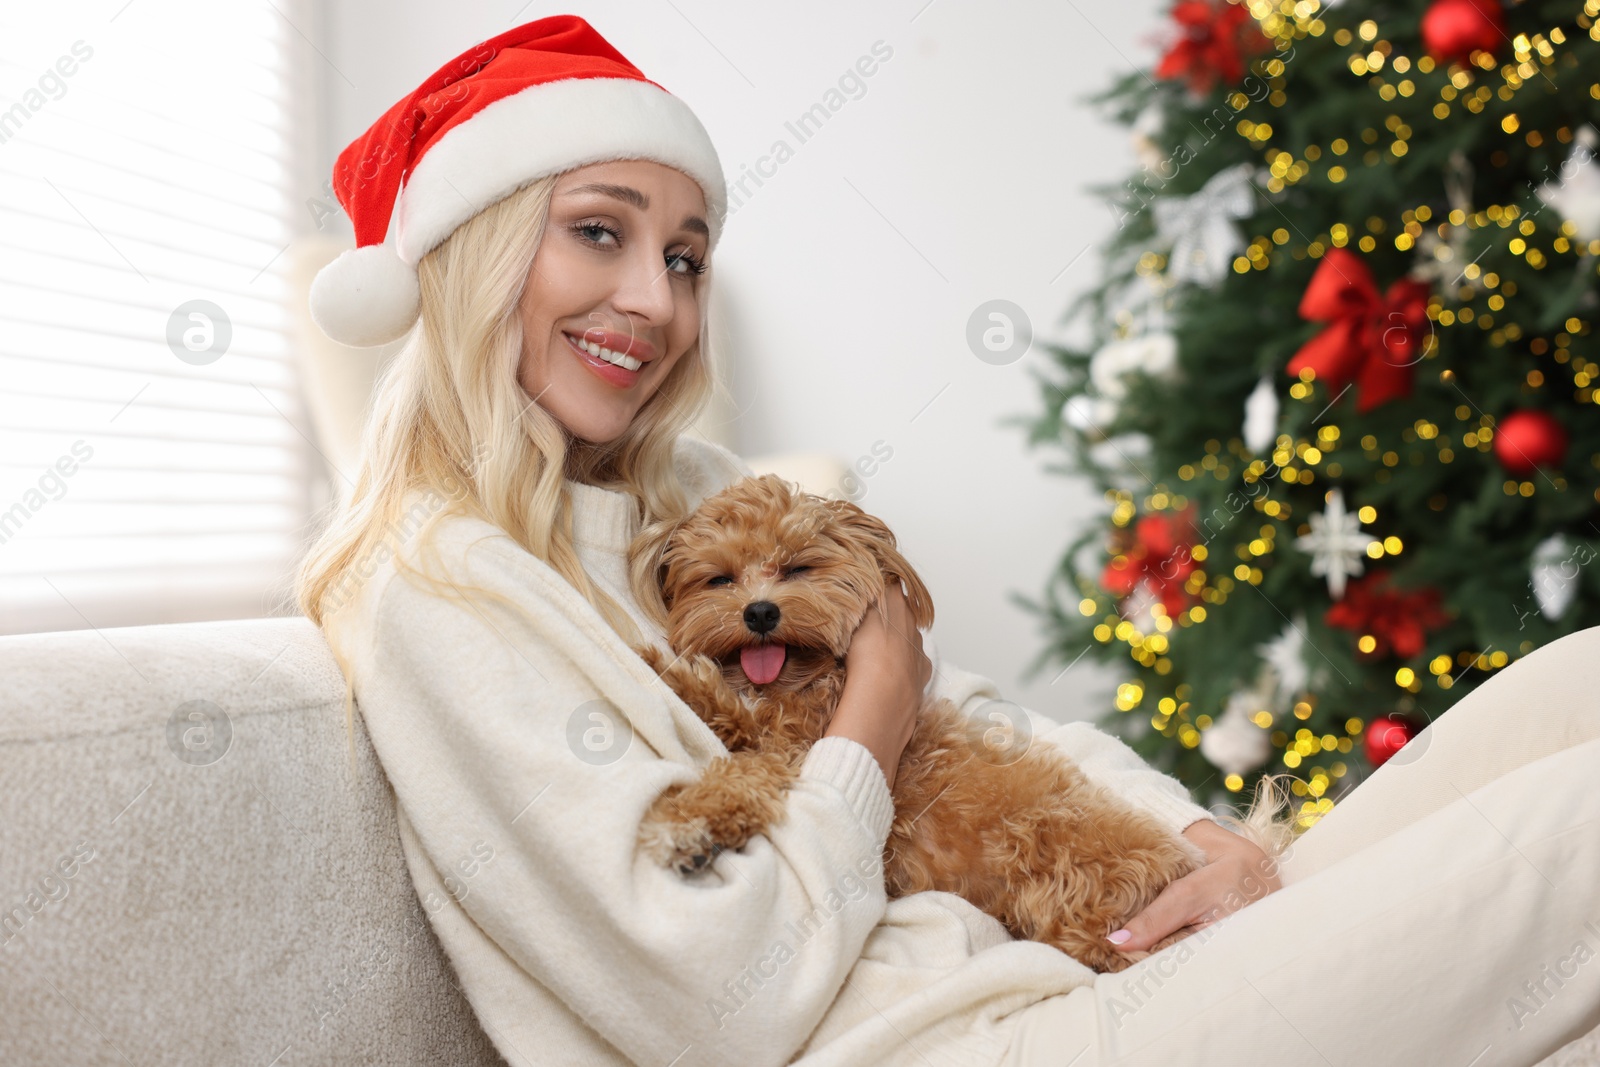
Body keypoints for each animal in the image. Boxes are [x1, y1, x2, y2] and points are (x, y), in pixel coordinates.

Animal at [630, 476, 1292, 979]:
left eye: (798, 567)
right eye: (719, 579)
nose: (760, 612)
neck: (804, 681)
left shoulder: (794, 748)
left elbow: (738, 765)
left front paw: (683, 820)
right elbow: (727, 718)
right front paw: (669, 677)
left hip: (1053, 854)